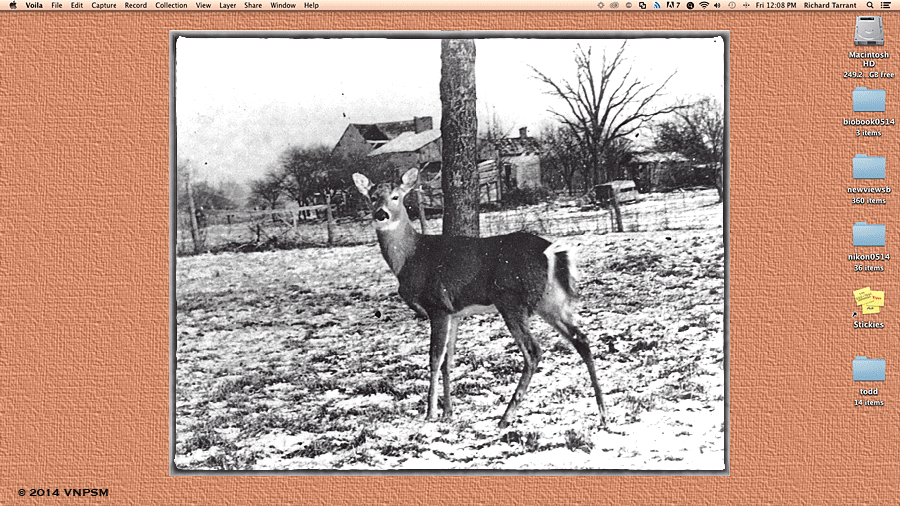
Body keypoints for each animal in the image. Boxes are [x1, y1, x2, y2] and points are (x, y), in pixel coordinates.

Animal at [352, 167, 606, 428]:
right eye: (372, 197)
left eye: (396, 197)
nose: (381, 214)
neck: (411, 257)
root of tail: (552, 252)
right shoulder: (454, 312)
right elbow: (448, 360)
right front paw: (449, 412)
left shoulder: (437, 305)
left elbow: (434, 358)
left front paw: (430, 414)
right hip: (550, 301)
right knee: (581, 339)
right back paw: (603, 413)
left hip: (511, 300)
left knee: (534, 350)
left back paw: (506, 417)